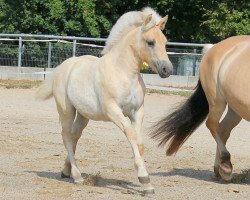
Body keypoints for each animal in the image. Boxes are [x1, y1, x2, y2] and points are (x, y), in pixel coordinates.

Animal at [35, 7, 172, 194]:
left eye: (165, 42)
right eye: (150, 42)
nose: (167, 69)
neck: (122, 72)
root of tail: (63, 67)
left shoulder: (138, 112)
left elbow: (139, 142)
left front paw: (147, 185)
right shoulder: (113, 110)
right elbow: (131, 135)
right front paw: (144, 179)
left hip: (83, 115)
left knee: (75, 136)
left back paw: (66, 171)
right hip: (66, 110)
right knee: (67, 136)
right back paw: (77, 176)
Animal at [150, 35, 250, 181]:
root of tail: (213, 48)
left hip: (235, 108)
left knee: (223, 130)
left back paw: (219, 168)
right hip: (217, 102)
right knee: (213, 125)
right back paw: (225, 164)